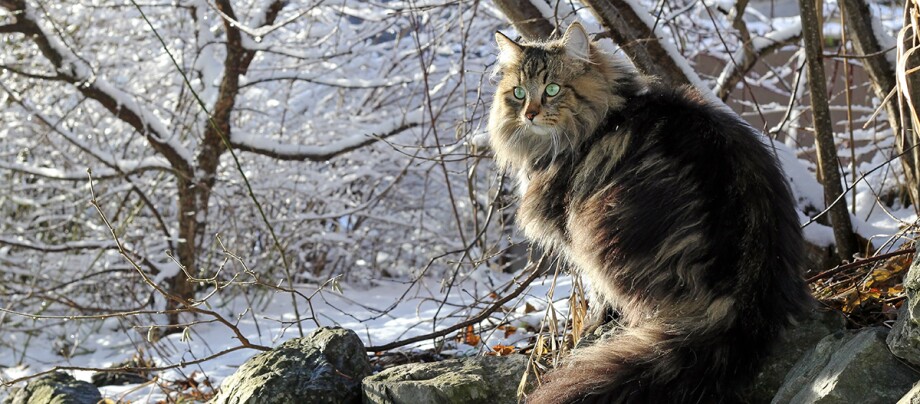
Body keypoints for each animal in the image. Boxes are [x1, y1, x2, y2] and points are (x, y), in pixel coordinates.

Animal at [488, 22, 812, 404]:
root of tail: (748, 298)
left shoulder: (572, 233)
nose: (530, 113)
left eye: (552, 89)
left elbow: (597, 291)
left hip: (602, 230)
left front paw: (597, 322)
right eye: (519, 93)